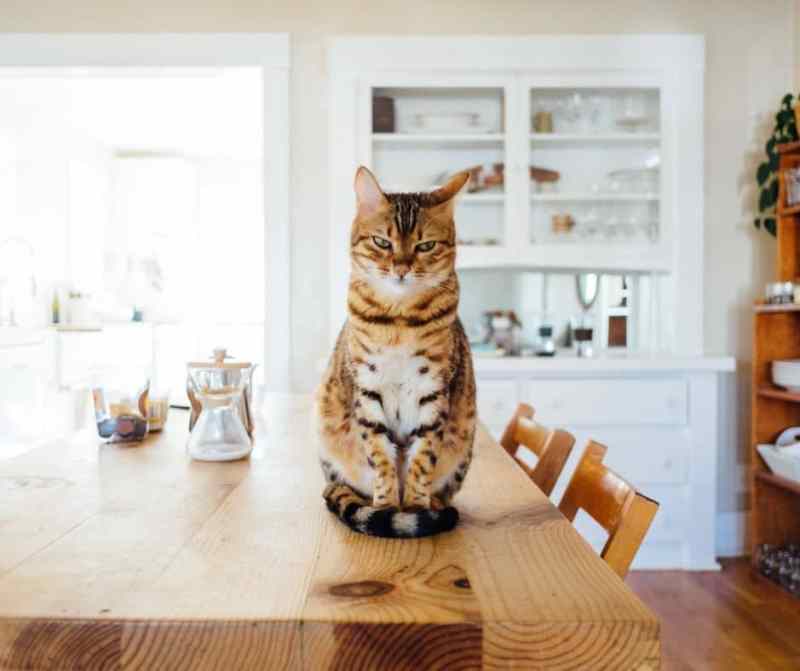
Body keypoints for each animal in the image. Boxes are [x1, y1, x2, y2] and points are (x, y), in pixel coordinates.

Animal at [312, 168, 476, 540]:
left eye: (425, 245)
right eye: (382, 243)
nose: (401, 268)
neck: (399, 320)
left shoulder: (434, 391)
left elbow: (422, 458)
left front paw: (414, 507)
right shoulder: (368, 388)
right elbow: (380, 457)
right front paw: (386, 507)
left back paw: (435, 506)